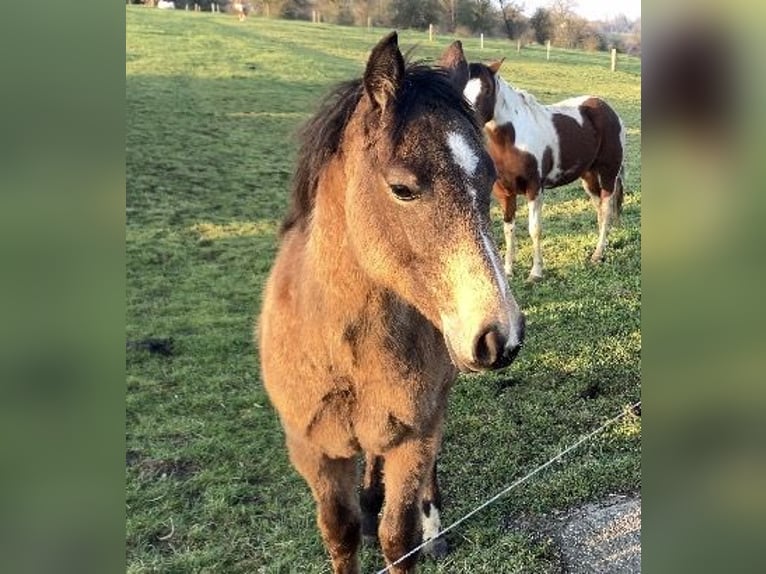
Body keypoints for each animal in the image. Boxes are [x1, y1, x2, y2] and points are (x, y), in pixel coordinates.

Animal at [257, 34, 525, 573]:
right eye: (402, 189)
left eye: (487, 180)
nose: (500, 336)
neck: (342, 351)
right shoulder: (315, 453)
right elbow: (341, 534)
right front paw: (359, 514)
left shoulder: (414, 438)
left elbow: (398, 538)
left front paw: (420, 529)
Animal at [456, 47, 626, 280]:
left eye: (488, 90)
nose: (469, 123)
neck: (511, 140)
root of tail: (609, 110)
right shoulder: (504, 192)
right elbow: (508, 230)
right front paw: (508, 270)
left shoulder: (534, 188)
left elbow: (534, 229)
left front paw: (535, 272)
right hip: (589, 178)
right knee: (600, 210)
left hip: (608, 173)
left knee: (607, 208)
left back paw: (597, 254)